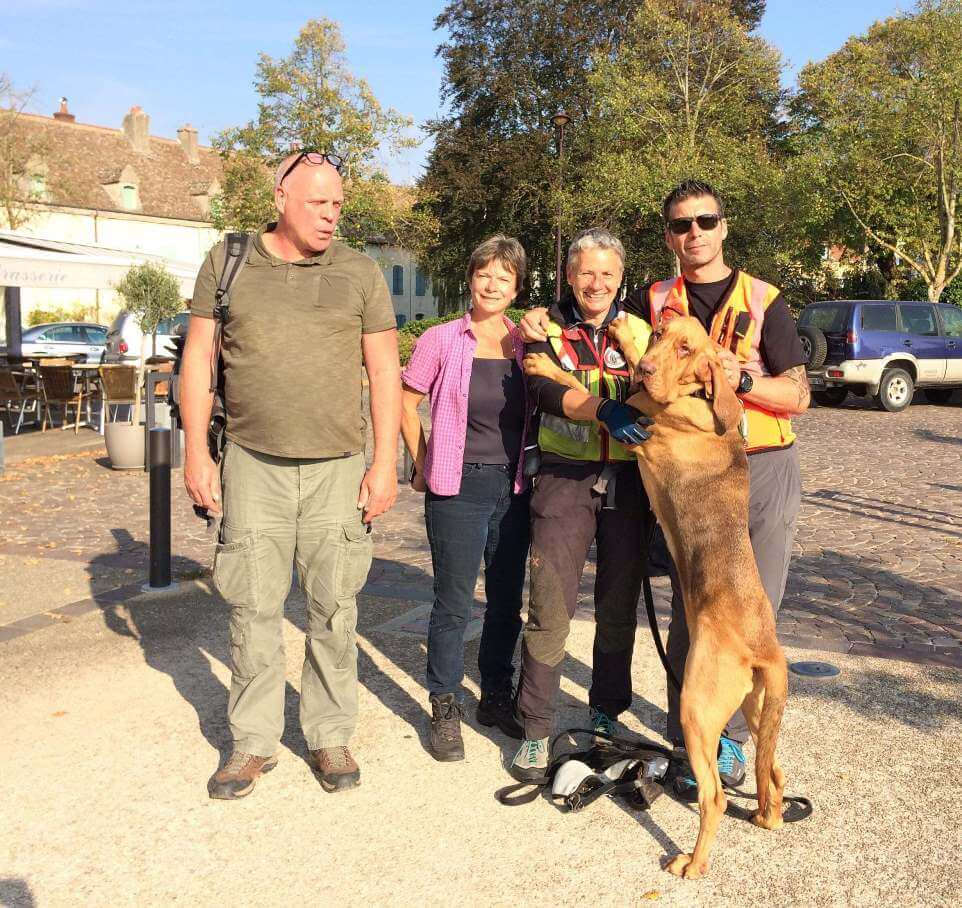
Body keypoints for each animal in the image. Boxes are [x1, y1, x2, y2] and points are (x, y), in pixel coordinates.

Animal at [524, 314, 788, 880]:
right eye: (665, 330)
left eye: (687, 348)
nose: (646, 369)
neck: (694, 398)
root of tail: (767, 649)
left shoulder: (640, 436)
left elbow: (587, 392)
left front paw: (544, 363)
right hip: (756, 710)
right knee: (772, 770)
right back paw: (768, 816)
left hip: (697, 709)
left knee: (713, 796)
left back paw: (693, 861)